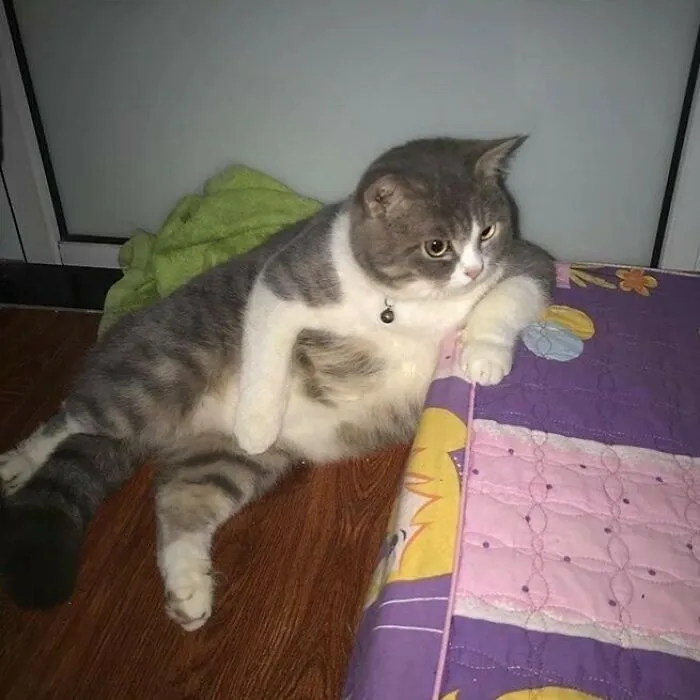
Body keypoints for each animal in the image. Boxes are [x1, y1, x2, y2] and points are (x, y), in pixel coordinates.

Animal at [0, 136, 554, 631]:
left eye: (488, 231)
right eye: (437, 246)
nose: (473, 269)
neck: (405, 303)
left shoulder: (528, 262)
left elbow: (506, 298)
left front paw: (482, 356)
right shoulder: (284, 280)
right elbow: (268, 343)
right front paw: (257, 421)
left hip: (221, 461)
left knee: (179, 504)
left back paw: (188, 590)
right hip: (160, 370)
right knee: (74, 416)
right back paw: (16, 463)